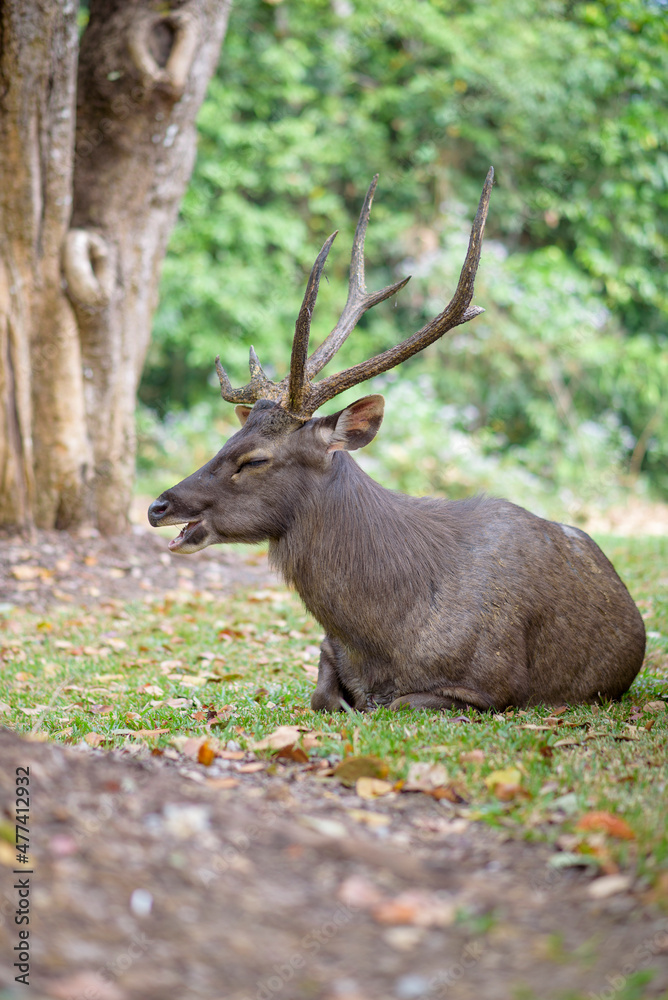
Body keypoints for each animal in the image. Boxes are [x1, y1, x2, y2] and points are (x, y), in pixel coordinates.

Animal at [147, 168, 648, 708]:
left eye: (254, 459)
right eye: (230, 437)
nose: (157, 505)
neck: (382, 637)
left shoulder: (492, 687)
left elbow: (393, 705)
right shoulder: (327, 649)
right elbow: (324, 697)